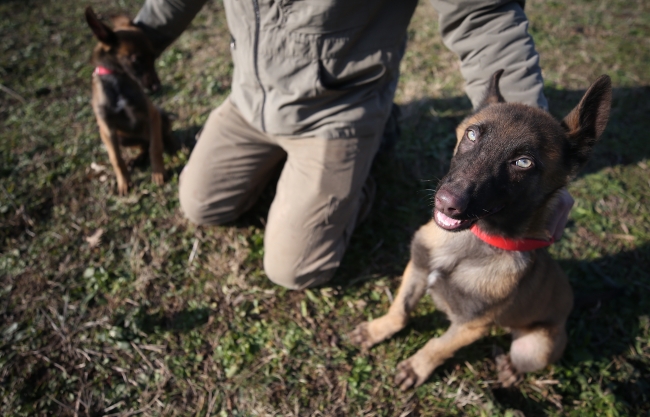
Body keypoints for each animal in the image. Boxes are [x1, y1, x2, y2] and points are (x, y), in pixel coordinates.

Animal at [86, 6, 178, 195]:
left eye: (153, 56)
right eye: (137, 59)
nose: (157, 87)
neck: (118, 82)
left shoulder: (151, 115)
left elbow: (155, 148)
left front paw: (158, 173)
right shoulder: (107, 129)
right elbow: (116, 159)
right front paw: (124, 182)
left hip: (160, 116)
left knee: (161, 137)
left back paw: (173, 147)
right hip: (123, 137)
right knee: (143, 146)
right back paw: (136, 159)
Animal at [350, 70, 608, 388]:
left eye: (523, 162)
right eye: (472, 135)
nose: (447, 203)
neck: (468, 245)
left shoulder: (472, 326)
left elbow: (438, 346)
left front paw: (416, 367)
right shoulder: (418, 269)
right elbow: (400, 311)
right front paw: (377, 330)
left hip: (535, 347)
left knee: (525, 359)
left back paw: (509, 370)